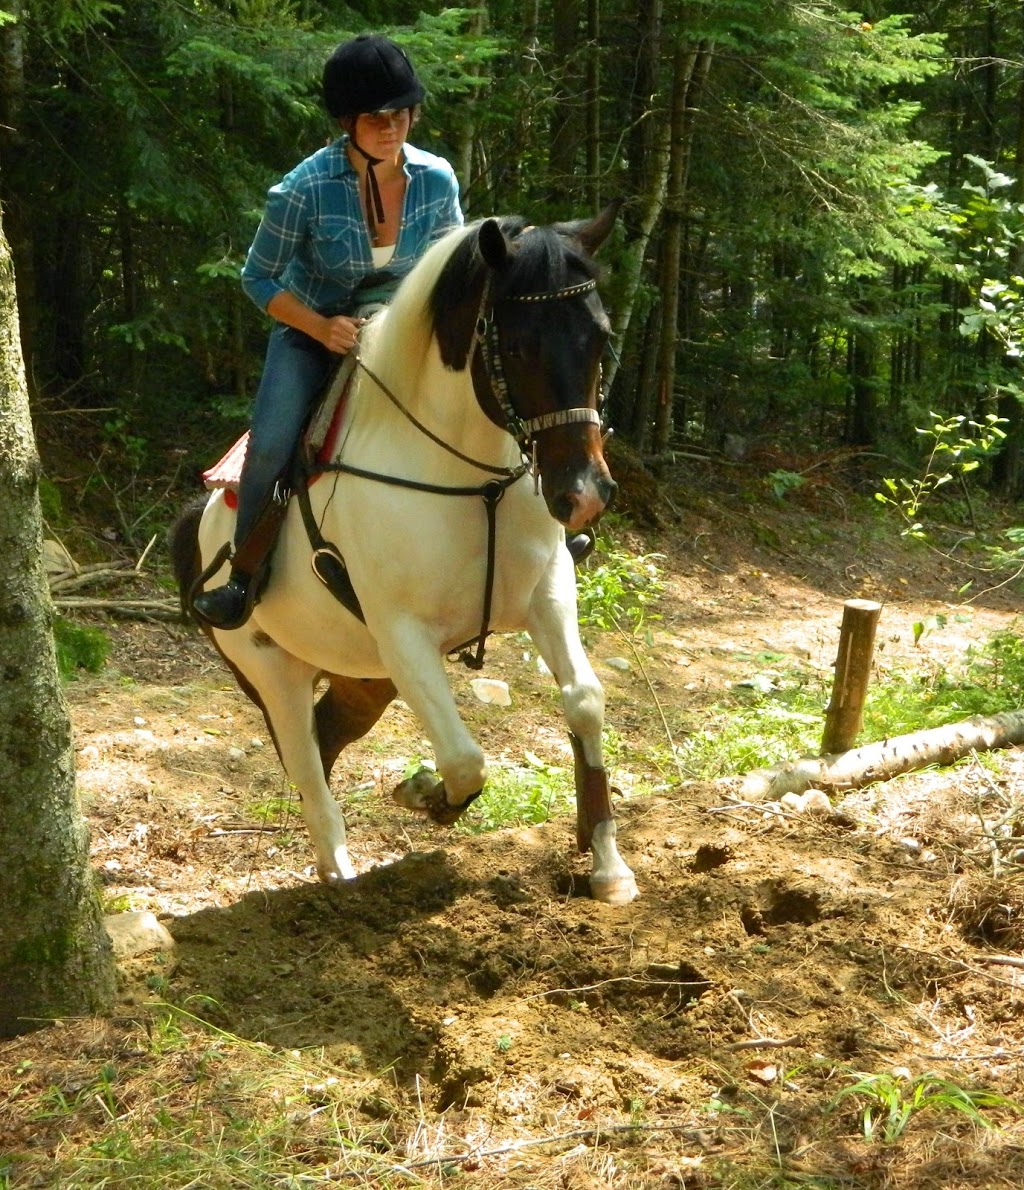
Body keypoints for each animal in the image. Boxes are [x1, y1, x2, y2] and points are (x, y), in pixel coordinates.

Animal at [171, 207, 637, 909]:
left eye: (600, 339)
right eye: (519, 348)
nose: (582, 494)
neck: (470, 479)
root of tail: (195, 526)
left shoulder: (549, 595)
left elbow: (584, 700)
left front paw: (608, 864)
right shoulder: (404, 638)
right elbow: (465, 759)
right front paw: (426, 795)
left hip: (363, 678)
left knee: (325, 738)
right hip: (274, 670)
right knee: (305, 761)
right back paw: (339, 871)